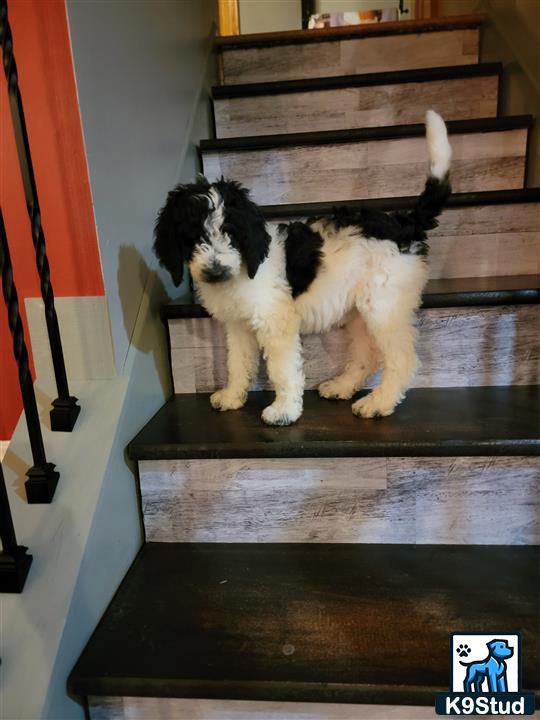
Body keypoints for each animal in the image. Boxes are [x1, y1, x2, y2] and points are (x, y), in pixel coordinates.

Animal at [155, 108, 452, 422]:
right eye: (192, 236)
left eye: (231, 233)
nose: (215, 270)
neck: (244, 267)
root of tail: (404, 222)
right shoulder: (238, 326)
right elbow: (238, 362)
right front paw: (233, 396)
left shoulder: (276, 322)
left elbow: (282, 369)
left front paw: (284, 411)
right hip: (359, 310)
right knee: (368, 355)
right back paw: (342, 386)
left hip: (384, 305)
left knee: (402, 360)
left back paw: (378, 403)